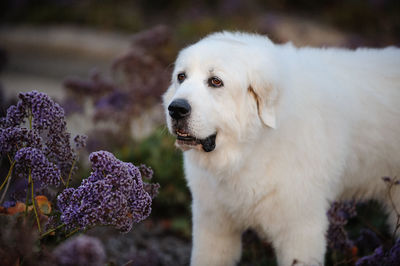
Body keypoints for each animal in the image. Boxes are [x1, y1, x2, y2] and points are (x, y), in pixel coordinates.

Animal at [162, 32, 400, 264]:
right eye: (181, 77)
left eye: (215, 81)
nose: (176, 109)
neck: (251, 151)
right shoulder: (214, 225)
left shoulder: (300, 229)